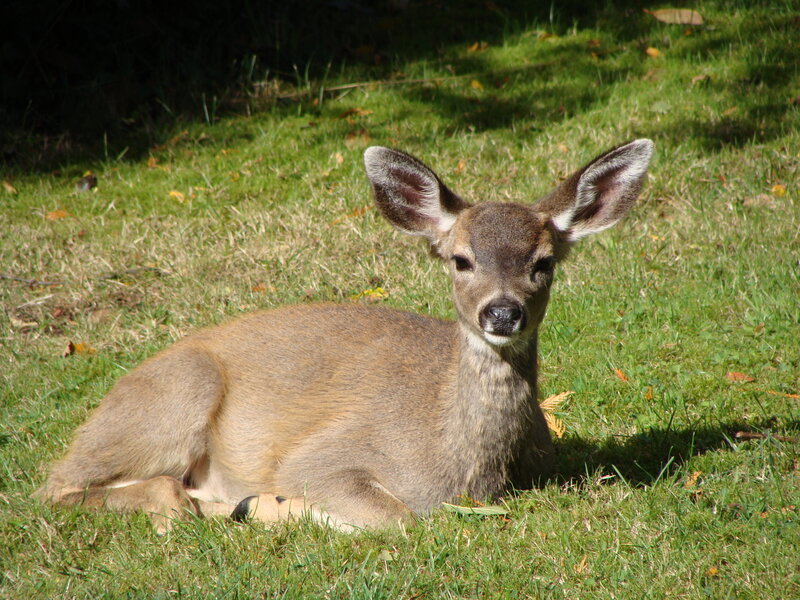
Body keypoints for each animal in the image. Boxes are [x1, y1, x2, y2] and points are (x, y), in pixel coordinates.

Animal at [35, 139, 654, 533]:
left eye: (543, 263)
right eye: (461, 260)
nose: (502, 314)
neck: (468, 470)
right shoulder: (322, 455)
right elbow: (399, 520)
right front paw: (272, 507)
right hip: (176, 395)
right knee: (68, 488)